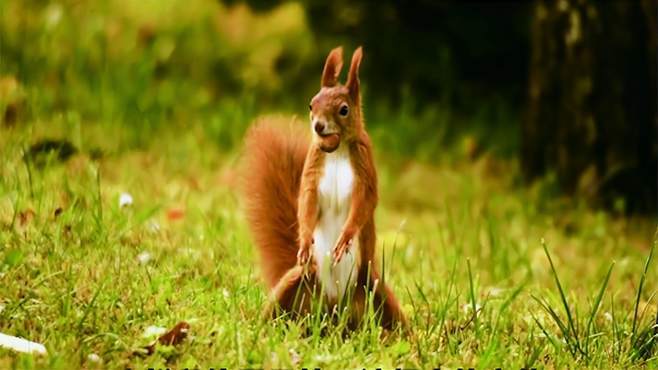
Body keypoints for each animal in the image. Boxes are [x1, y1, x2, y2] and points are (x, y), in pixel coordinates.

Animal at [241, 47, 404, 330]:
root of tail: (333, 308)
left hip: (372, 286)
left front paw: (345, 237)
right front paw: (306, 241)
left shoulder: (365, 165)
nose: (318, 126)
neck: (336, 150)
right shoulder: (313, 166)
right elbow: (305, 201)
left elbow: (366, 202)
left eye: (344, 109)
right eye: (311, 104)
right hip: (296, 282)